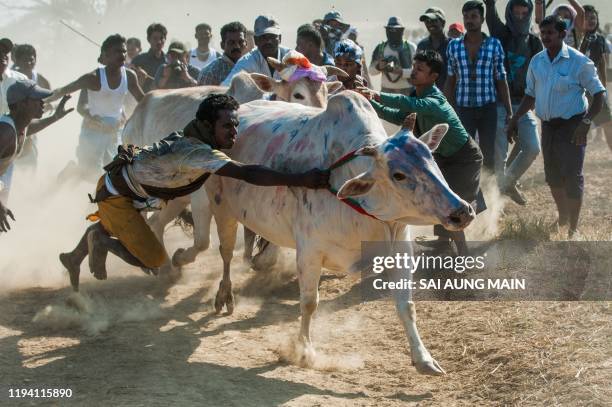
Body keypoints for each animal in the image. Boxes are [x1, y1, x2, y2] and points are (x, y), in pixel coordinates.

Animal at [203, 93, 476, 376]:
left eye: (431, 158)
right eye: (398, 174)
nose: (462, 211)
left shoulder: (400, 248)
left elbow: (406, 306)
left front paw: (424, 359)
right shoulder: (310, 253)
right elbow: (309, 303)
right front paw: (304, 351)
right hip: (221, 209)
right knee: (226, 254)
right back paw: (225, 294)